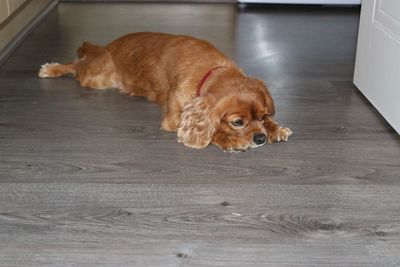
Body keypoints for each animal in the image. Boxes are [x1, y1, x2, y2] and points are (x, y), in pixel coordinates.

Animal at [38, 32, 290, 152]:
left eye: (264, 116)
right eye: (238, 122)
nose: (260, 139)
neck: (213, 70)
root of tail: (108, 46)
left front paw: (276, 128)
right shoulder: (174, 119)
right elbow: (212, 132)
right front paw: (229, 140)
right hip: (96, 77)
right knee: (77, 64)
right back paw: (52, 68)